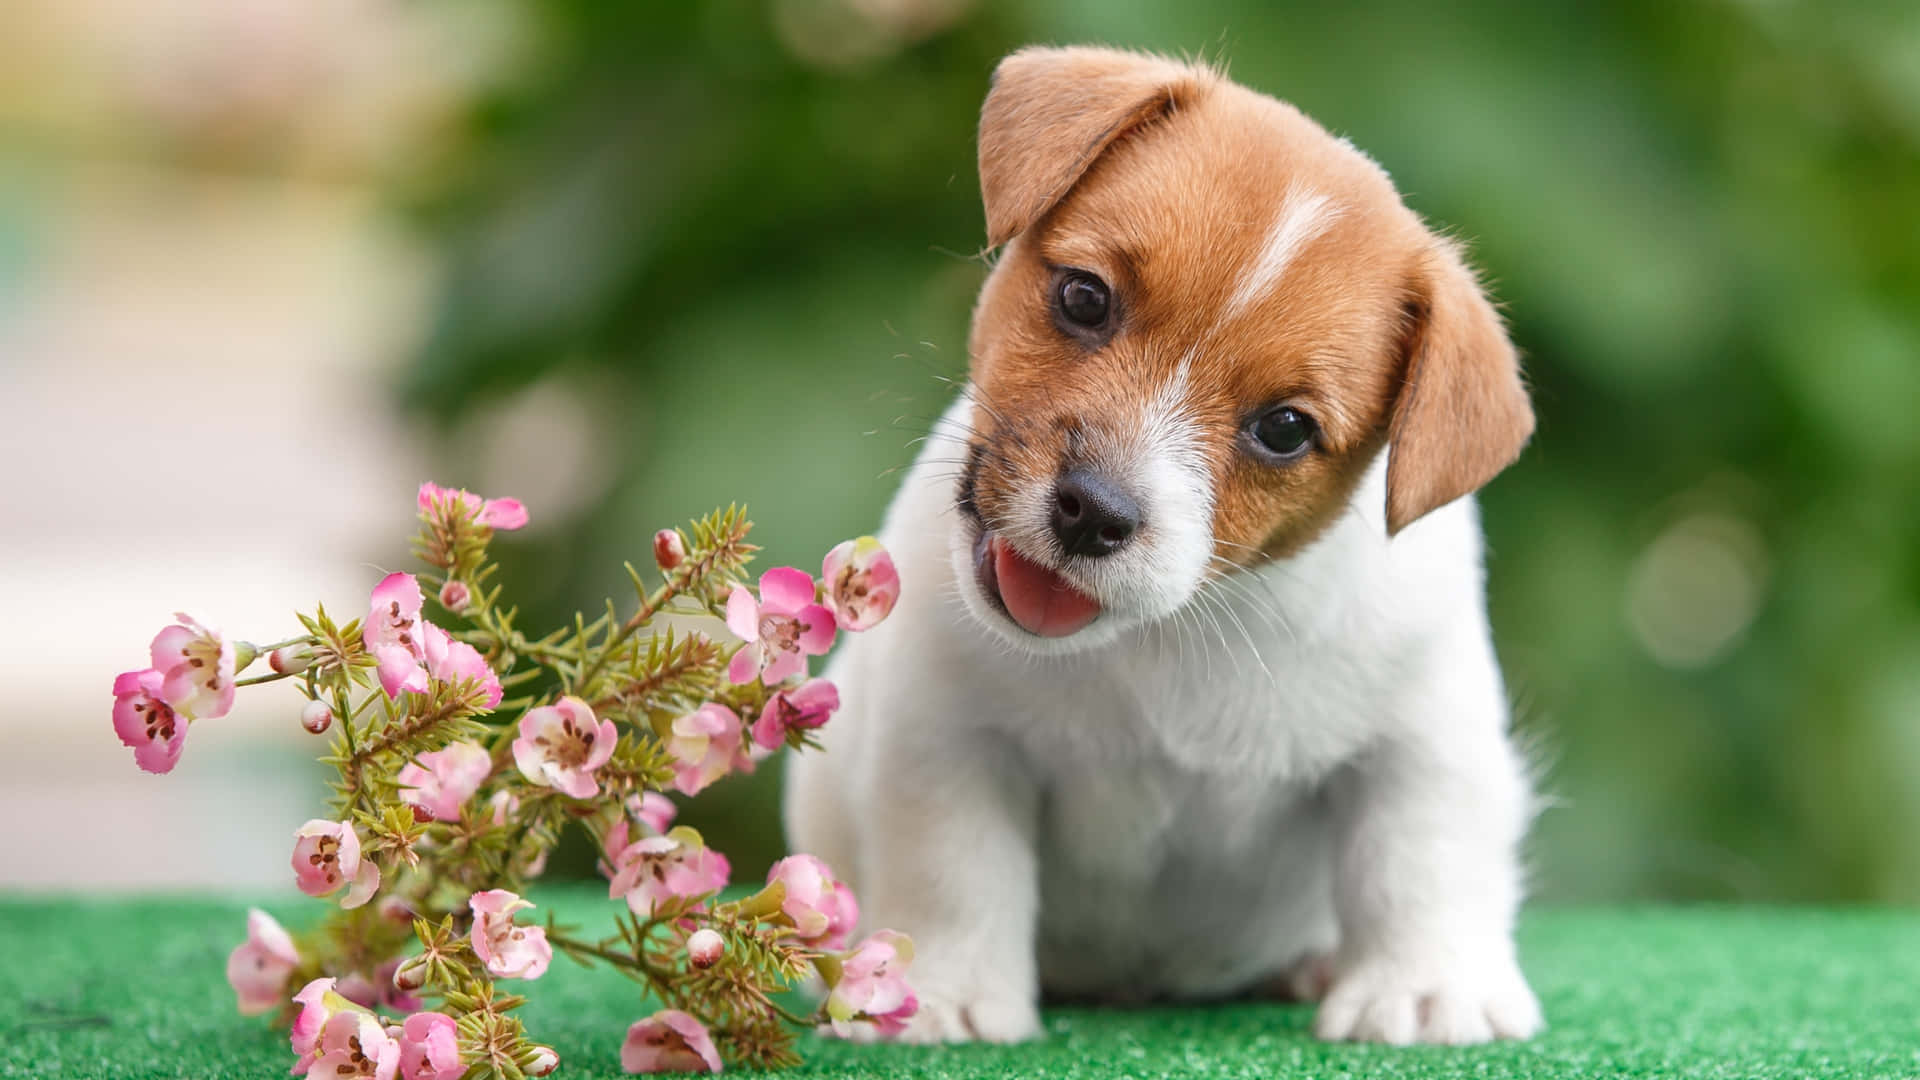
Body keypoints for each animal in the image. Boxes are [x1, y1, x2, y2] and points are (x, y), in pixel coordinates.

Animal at [783, 46, 1543, 1045]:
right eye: (1083, 297)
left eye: (1285, 429)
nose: (1092, 512)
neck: (1165, 636)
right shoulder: (950, 742)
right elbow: (955, 870)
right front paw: (946, 991)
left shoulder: (1423, 741)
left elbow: (1424, 858)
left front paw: (1425, 989)